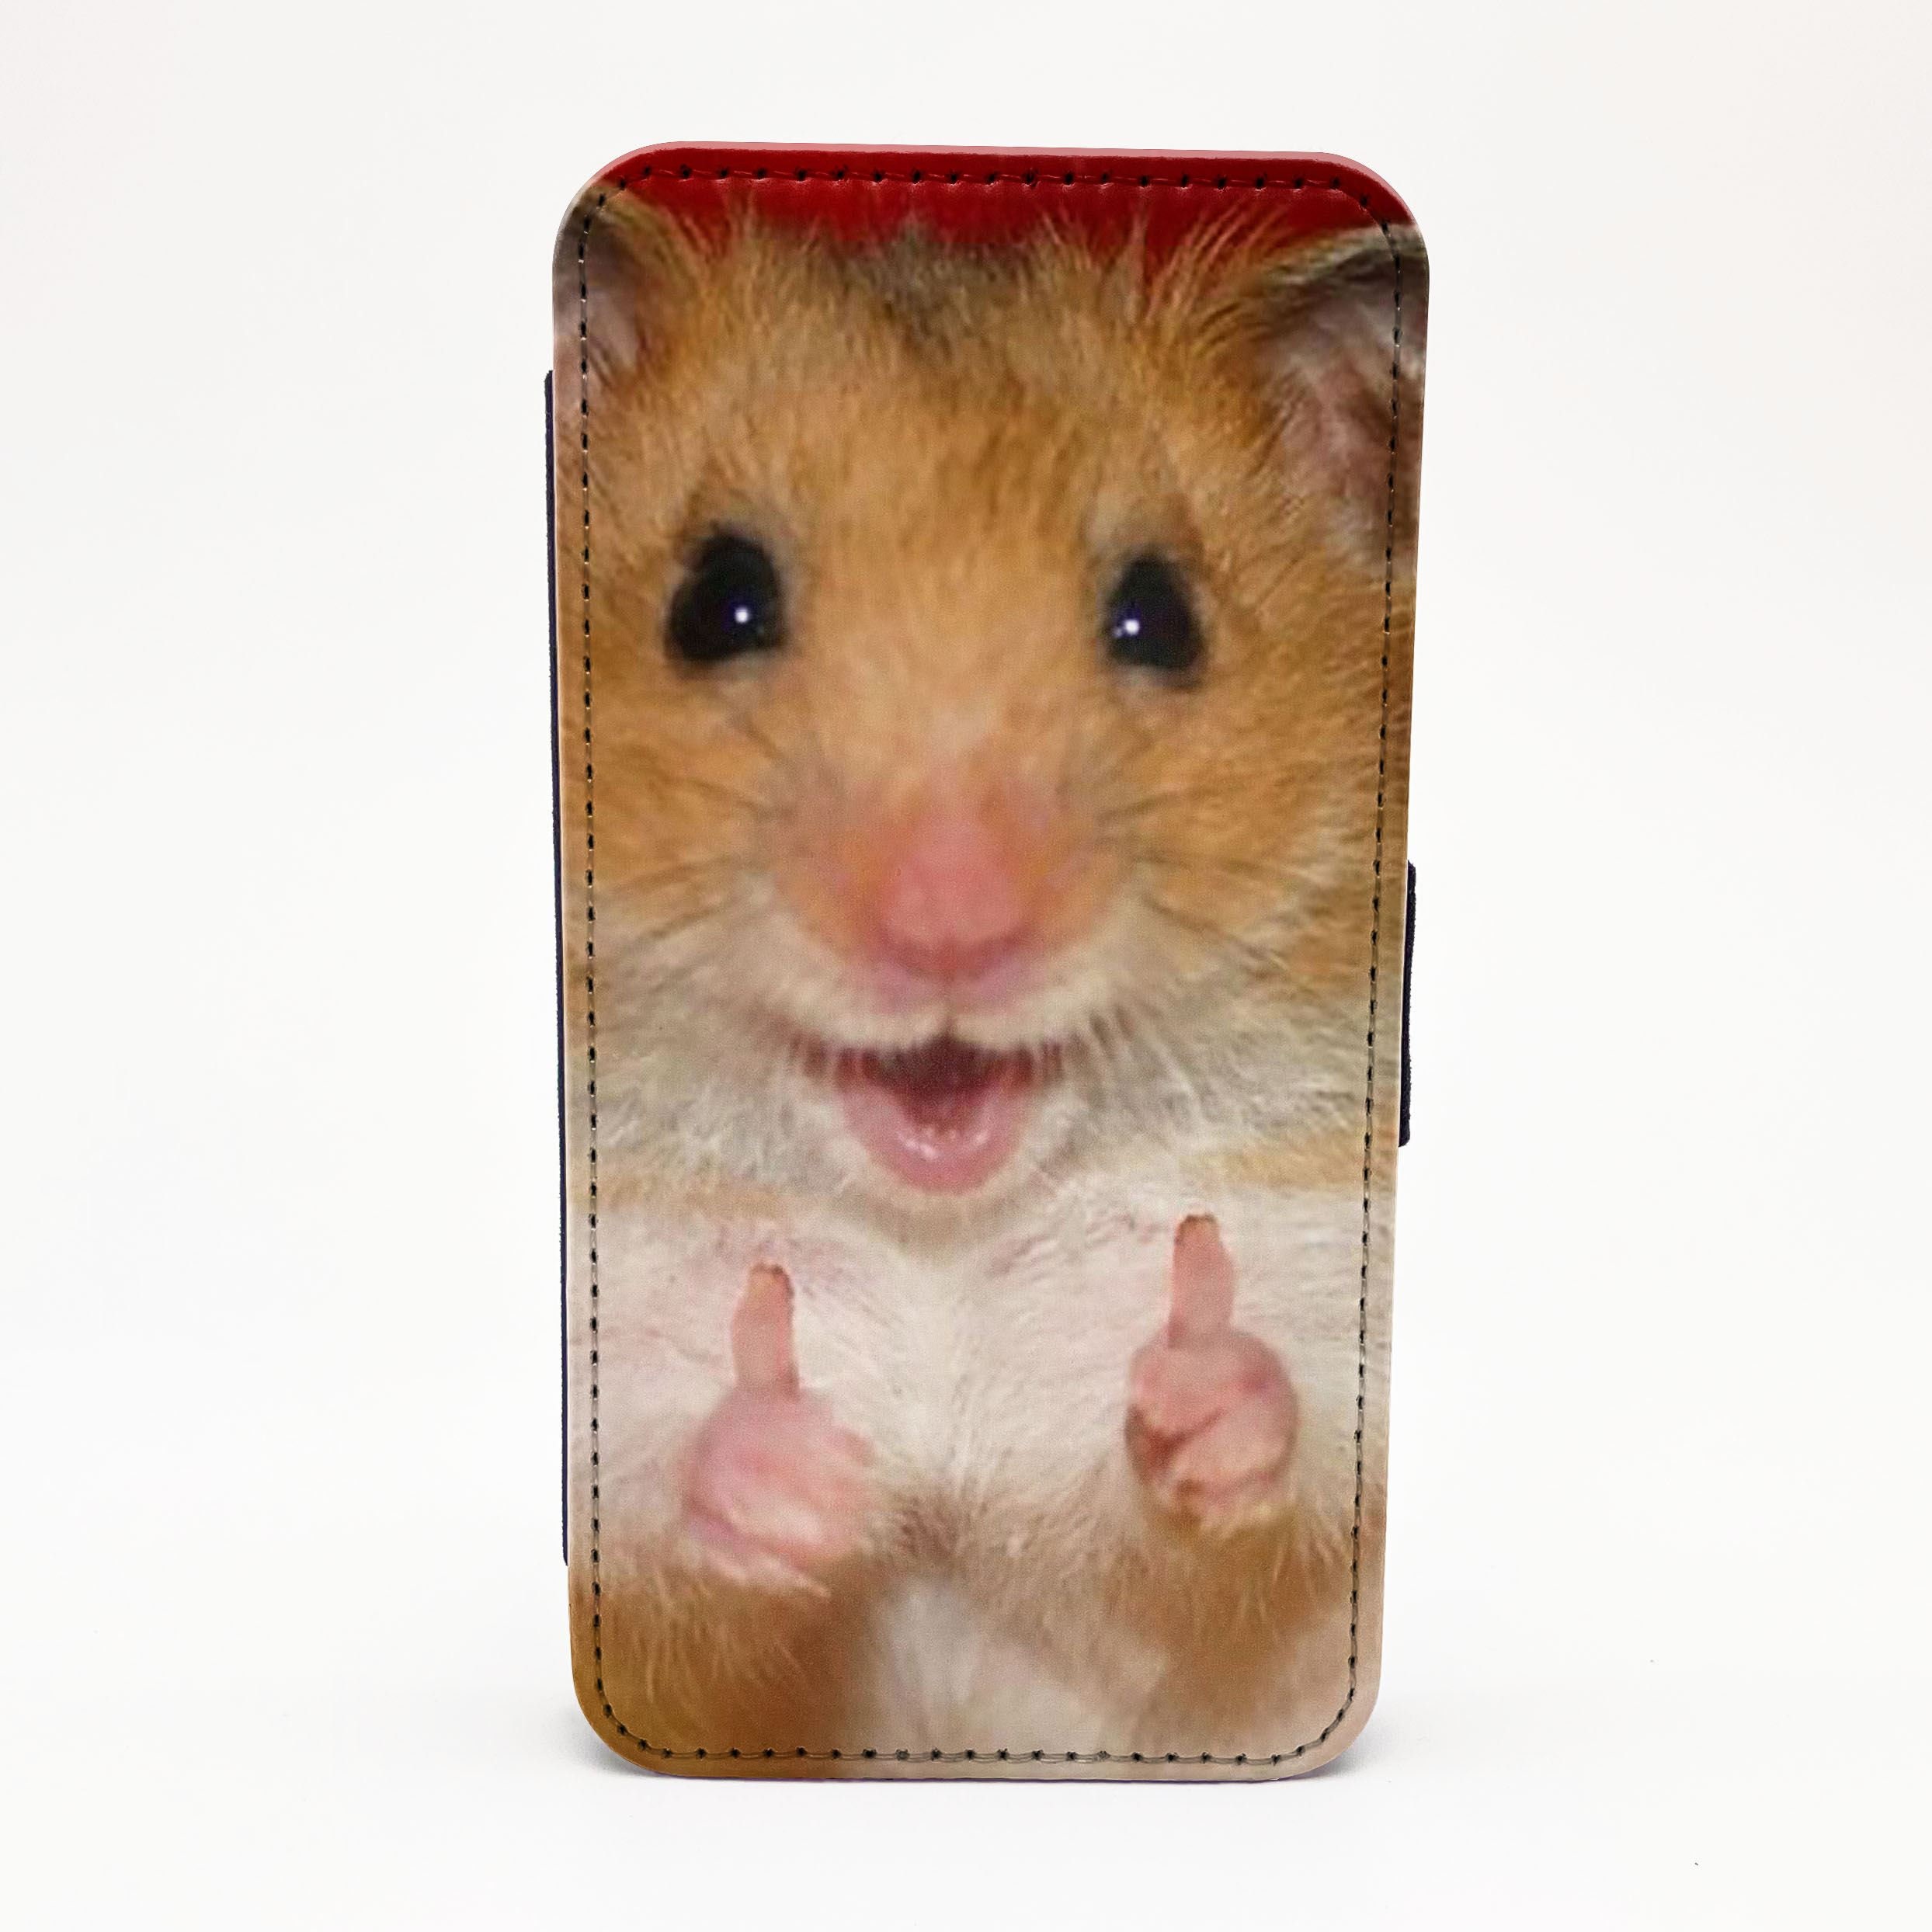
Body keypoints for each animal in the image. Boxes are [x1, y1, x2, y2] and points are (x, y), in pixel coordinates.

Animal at [557, 194, 1422, 1771]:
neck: (937, 1237)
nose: (948, 933)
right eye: (716, 601)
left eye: (1162, 615)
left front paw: (1197, 1379)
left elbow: (1257, 1491)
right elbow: (659, 1520)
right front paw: (809, 1470)